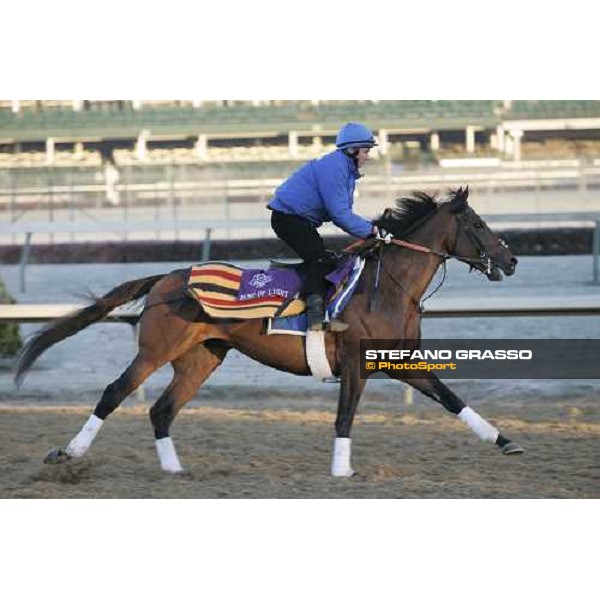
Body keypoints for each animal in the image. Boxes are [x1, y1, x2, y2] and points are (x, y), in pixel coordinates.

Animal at [16, 185, 524, 476]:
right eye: (478, 223)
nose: (511, 259)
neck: (389, 286)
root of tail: (165, 277)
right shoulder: (355, 363)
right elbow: (345, 417)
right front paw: (341, 471)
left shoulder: (400, 361)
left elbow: (453, 399)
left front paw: (506, 442)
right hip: (155, 351)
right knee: (114, 393)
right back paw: (68, 453)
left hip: (201, 358)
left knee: (161, 410)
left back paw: (176, 471)